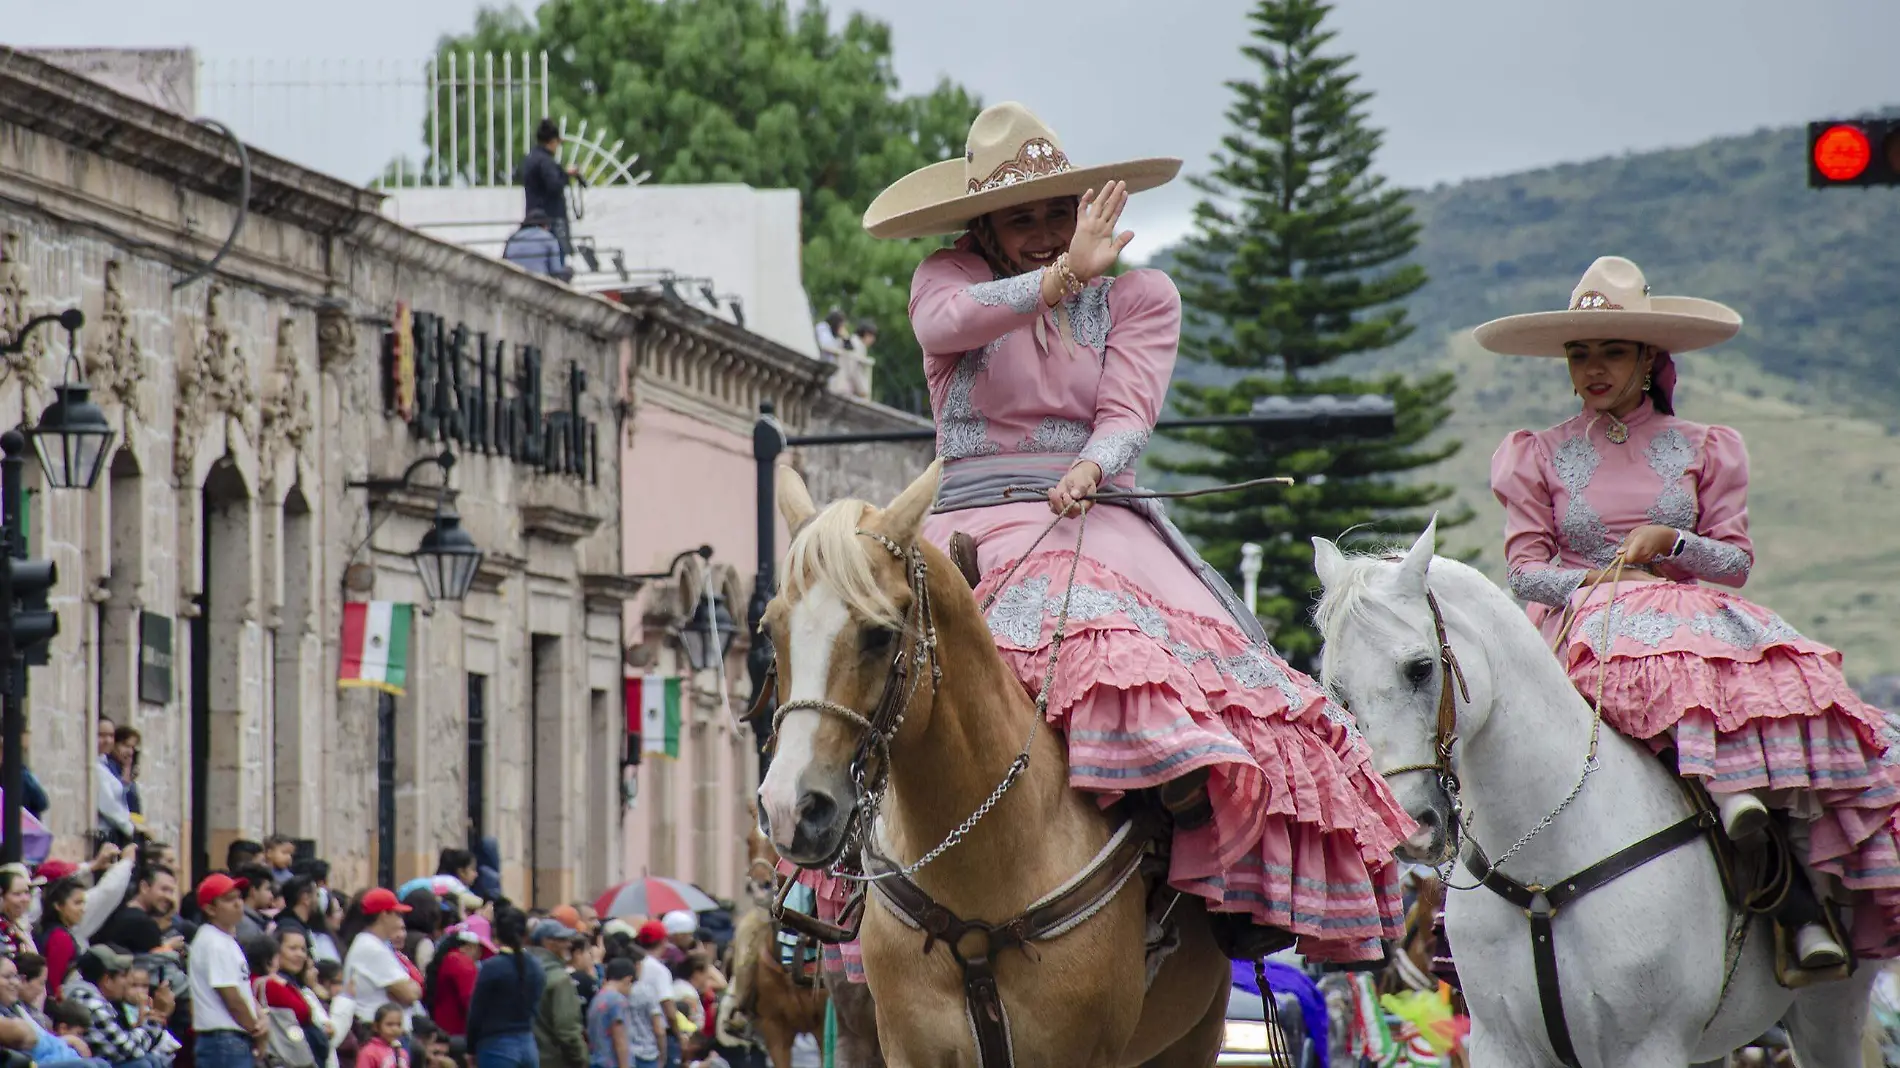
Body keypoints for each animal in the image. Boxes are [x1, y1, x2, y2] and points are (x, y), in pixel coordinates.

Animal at [1314, 520, 1877, 1064]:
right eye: (1338, 690)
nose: (1411, 829)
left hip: (1829, 1012)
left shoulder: (1647, 1046)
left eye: (1421, 668)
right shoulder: (1500, 1044)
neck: (1543, 867)